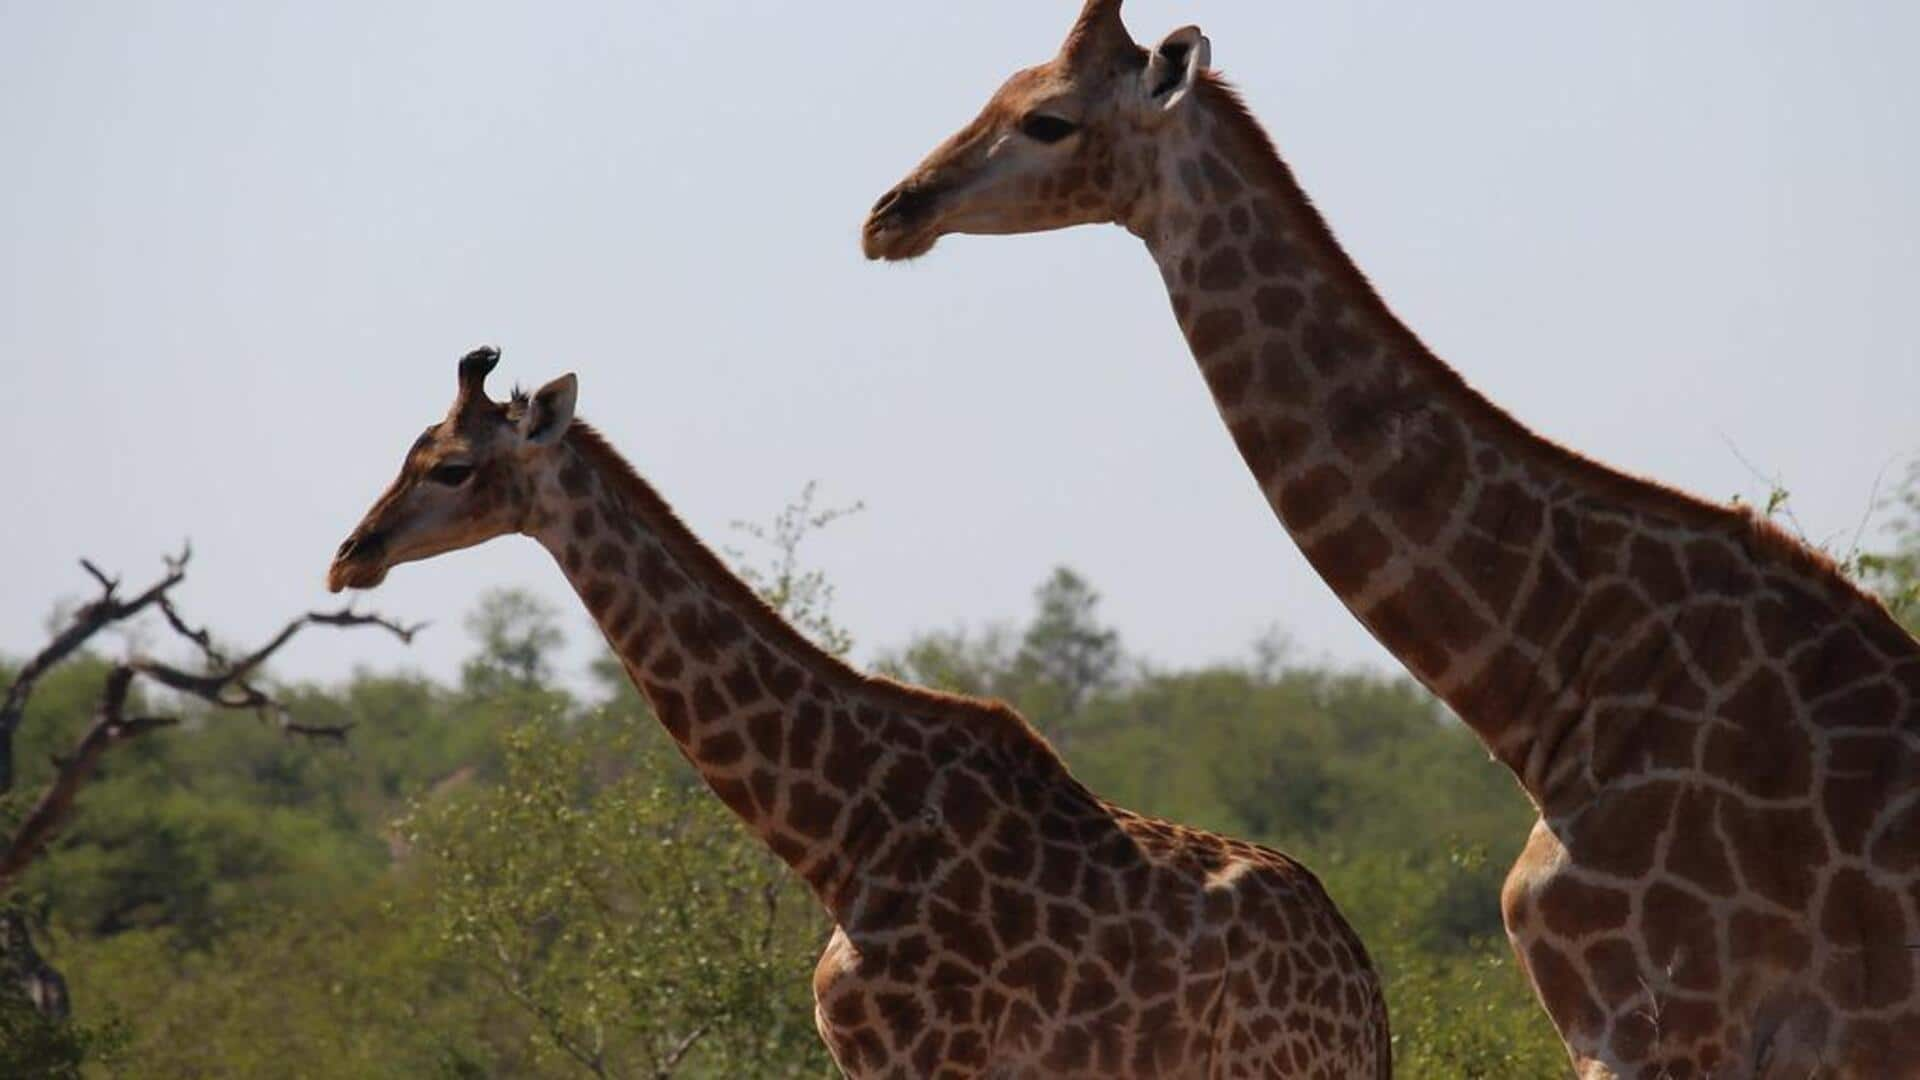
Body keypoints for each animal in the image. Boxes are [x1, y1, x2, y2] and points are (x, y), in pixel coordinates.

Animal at [322, 345, 1390, 1076]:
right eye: (411, 450)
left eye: (453, 467)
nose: (349, 556)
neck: (836, 839)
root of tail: (1365, 990)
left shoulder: (927, 1056)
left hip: (1269, 1067)